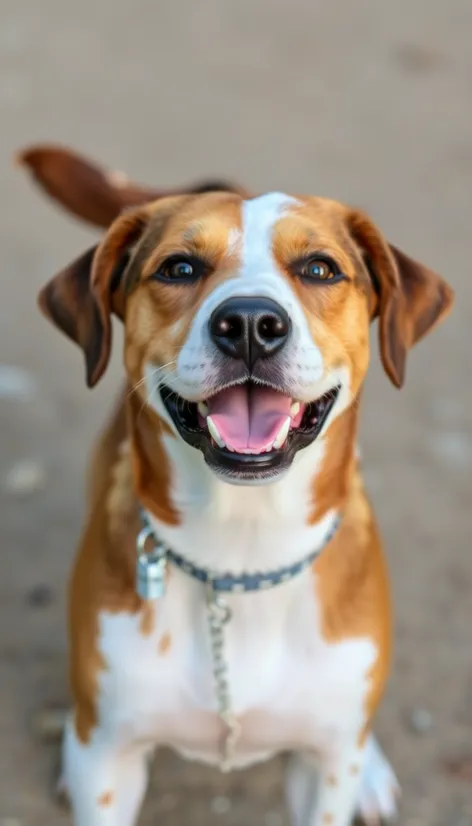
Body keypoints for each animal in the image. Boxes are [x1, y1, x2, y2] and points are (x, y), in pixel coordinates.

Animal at [18, 146, 454, 824]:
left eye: (320, 269)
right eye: (179, 267)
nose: (250, 322)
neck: (243, 549)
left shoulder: (323, 772)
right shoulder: (109, 766)